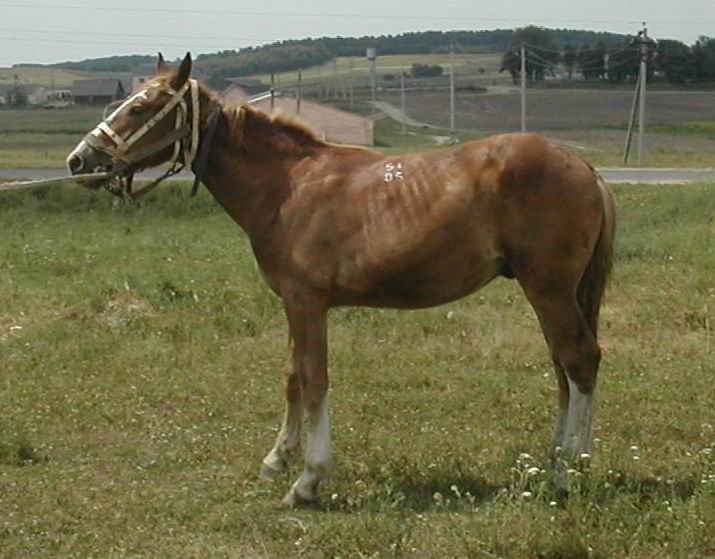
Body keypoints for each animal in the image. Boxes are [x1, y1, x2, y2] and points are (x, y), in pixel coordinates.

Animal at [67, 53, 616, 508]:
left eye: (142, 107)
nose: (80, 161)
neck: (287, 186)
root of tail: (586, 167)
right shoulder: (293, 302)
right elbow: (292, 374)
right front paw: (276, 459)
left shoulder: (307, 301)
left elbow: (315, 379)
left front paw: (308, 480)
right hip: (553, 293)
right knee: (563, 367)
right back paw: (554, 460)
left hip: (548, 290)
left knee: (579, 360)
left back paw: (568, 473)